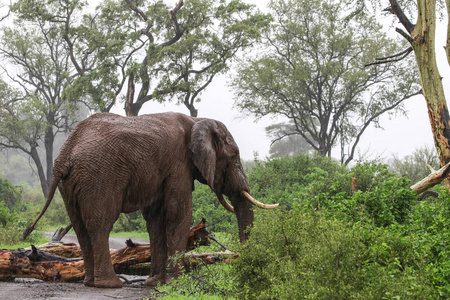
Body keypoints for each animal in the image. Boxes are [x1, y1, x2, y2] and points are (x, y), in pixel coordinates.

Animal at [25, 112, 278, 288]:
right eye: (234, 156)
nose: (241, 259)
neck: (197, 120)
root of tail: (64, 154)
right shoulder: (178, 164)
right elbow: (178, 213)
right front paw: (177, 282)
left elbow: (156, 220)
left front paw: (155, 282)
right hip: (99, 177)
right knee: (100, 226)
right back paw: (110, 284)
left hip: (71, 184)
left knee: (80, 228)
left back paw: (89, 282)